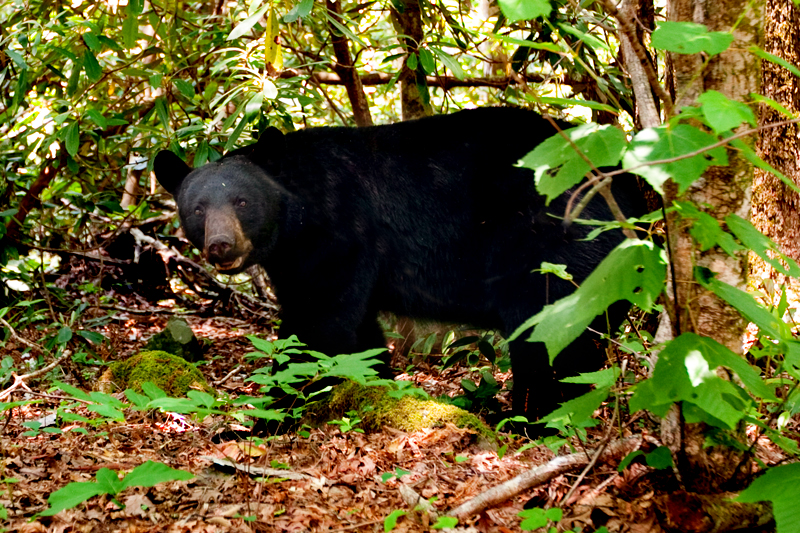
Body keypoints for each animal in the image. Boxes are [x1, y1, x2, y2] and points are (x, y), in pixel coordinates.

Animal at [153, 107, 648, 420]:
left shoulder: (341, 231)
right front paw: (375, 389)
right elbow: (357, 333)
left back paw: (536, 420)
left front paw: (268, 416)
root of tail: (632, 189)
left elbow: (317, 327)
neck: (299, 216)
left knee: (550, 338)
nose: (221, 245)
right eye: (197, 208)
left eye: (242, 201)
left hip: (556, 249)